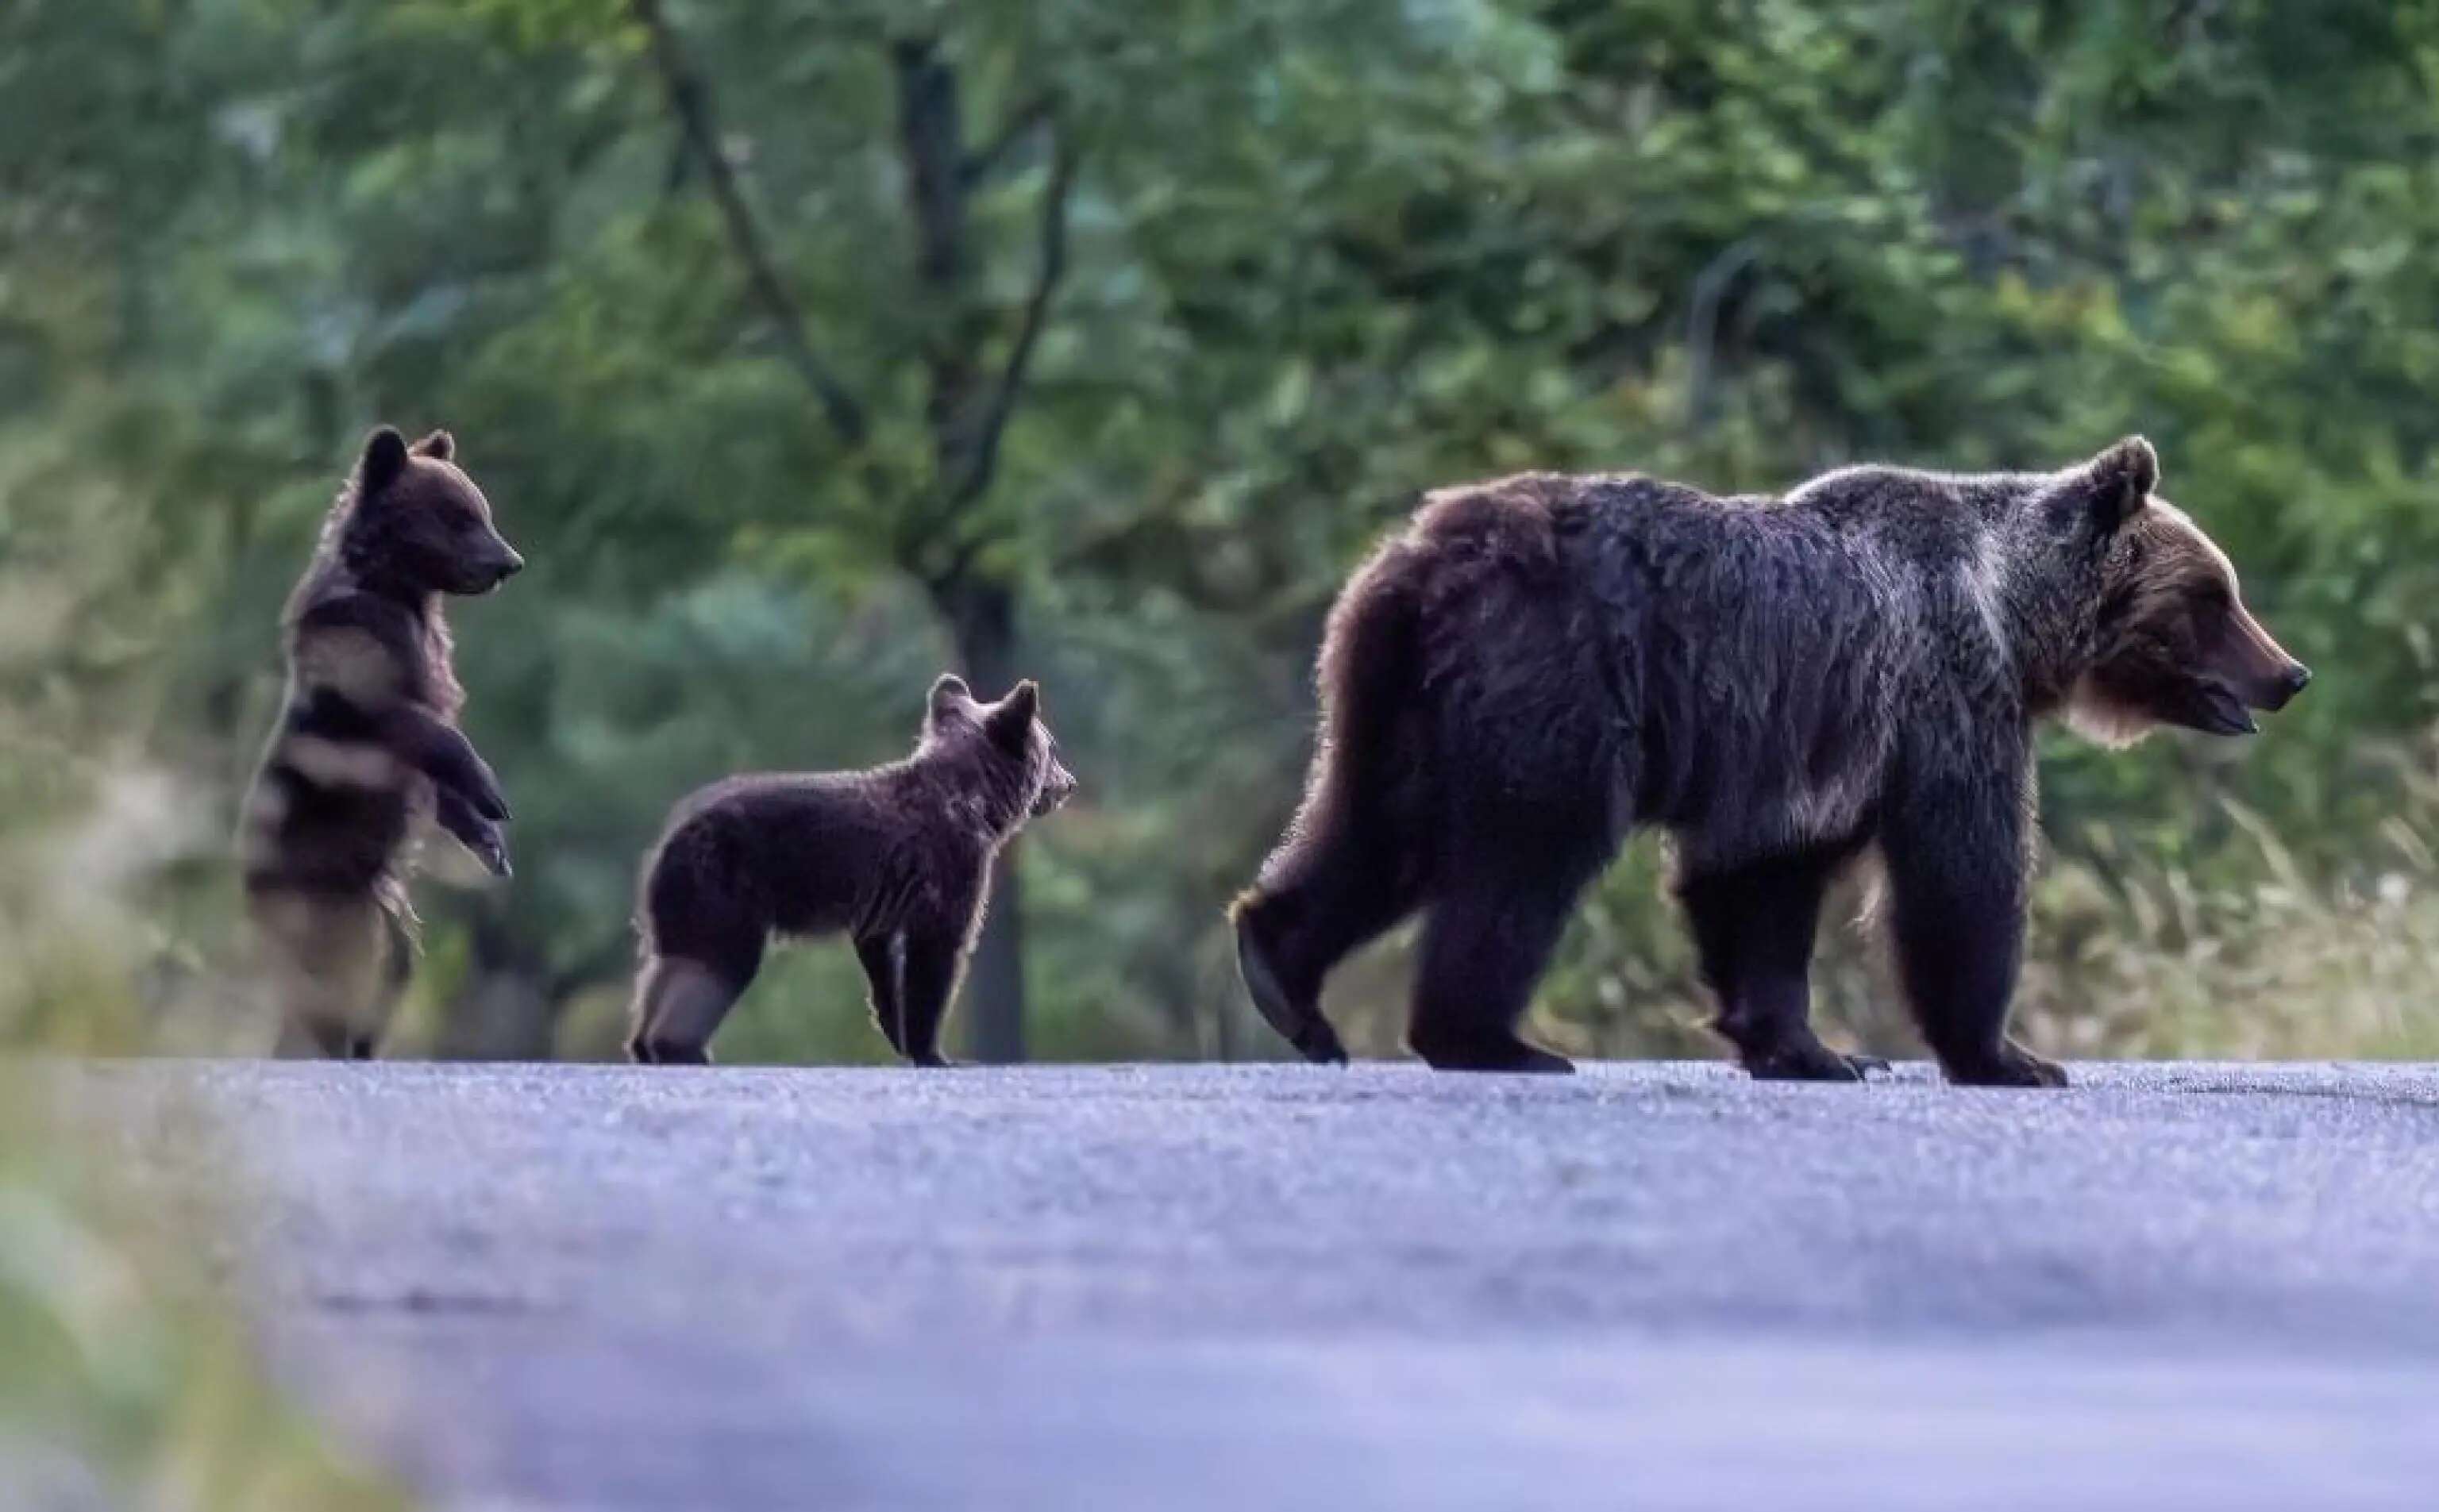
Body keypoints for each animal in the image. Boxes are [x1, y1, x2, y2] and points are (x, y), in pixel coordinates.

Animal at [1239, 436, 2302, 1087]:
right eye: (2214, 595)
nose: (2289, 673)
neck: (2012, 614)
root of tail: (1422, 558)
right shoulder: (1943, 695)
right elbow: (1961, 874)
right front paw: (2010, 1056)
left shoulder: (1811, 755)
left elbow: (1762, 885)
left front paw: (1813, 1049)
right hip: (1553, 680)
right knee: (1525, 857)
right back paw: (1491, 1039)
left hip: (1395, 701)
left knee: (1376, 831)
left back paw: (1285, 981)